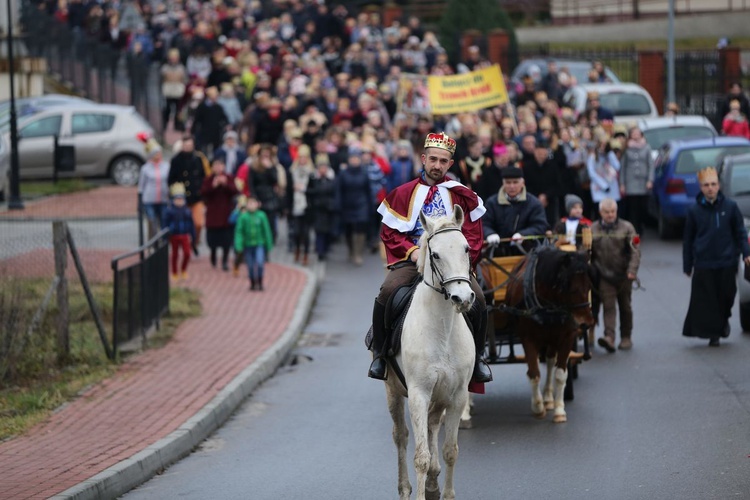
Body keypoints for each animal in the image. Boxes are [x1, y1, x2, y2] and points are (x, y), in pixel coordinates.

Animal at [382, 205, 476, 498]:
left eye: (466, 248)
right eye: (435, 254)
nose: (463, 298)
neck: (442, 330)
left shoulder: (457, 395)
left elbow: (450, 451)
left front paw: (444, 492)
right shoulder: (418, 395)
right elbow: (420, 457)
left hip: (440, 396)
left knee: (434, 425)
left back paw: (434, 483)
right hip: (393, 391)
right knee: (400, 436)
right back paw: (404, 488)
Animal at [502, 246, 596, 422]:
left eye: (589, 286)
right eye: (570, 288)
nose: (585, 323)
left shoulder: (567, 337)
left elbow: (560, 374)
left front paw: (559, 410)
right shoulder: (528, 339)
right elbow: (534, 373)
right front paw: (538, 407)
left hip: (552, 339)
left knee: (551, 360)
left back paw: (548, 397)